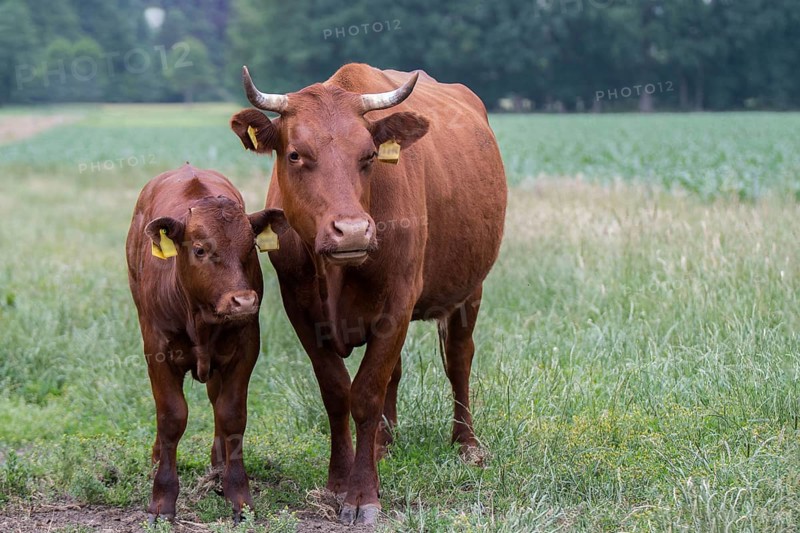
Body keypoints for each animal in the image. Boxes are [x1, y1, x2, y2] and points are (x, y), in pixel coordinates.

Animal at [125, 163, 287, 523]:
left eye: (250, 249)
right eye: (200, 249)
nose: (243, 301)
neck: (200, 318)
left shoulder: (244, 348)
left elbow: (231, 415)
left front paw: (237, 492)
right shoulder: (157, 351)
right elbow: (171, 417)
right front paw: (162, 499)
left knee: (216, 400)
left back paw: (218, 465)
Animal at [230, 63, 507, 525]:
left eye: (369, 156)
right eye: (295, 154)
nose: (353, 231)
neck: (335, 272)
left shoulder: (399, 301)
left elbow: (366, 392)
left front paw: (362, 493)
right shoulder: (300, 309)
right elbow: (338, 392)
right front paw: (339, 480)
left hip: (471, 290)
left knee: (459, 362)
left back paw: (466, 444)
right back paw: (382, 443)